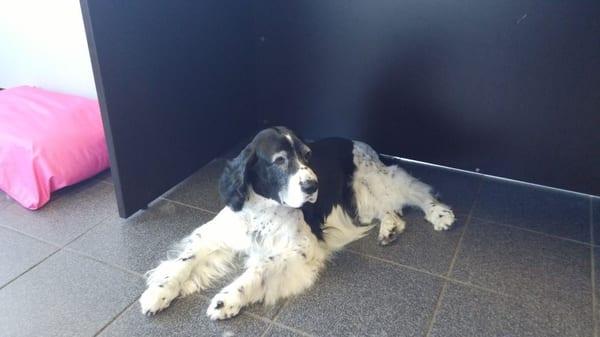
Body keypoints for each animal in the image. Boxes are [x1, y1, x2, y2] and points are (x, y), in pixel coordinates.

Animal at [138, 125, 452, 318]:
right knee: (388, 210)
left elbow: (258, 269)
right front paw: (159, 292)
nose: (313, 186)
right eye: (279, 160)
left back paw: (440, 214)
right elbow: (183, 262)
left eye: (307, 155)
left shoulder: (300, 249)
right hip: (362, 198)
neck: (263, 210)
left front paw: (227, 299)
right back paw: (390, 229)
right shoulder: (217, 235)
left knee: (415, 190)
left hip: (374, 179)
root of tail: (359, 142)